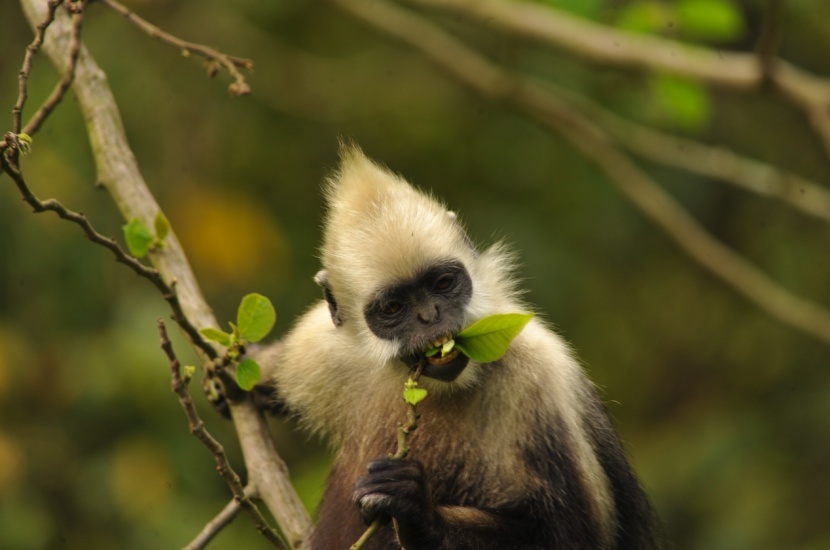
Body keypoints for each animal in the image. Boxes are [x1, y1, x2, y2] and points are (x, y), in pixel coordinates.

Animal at [260, 144, 664, 548]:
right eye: (393, 308)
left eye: (442, 283)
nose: (430, 316)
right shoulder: (322, 346)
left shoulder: (542, 378)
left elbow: (579, 539)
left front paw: (417, 512)